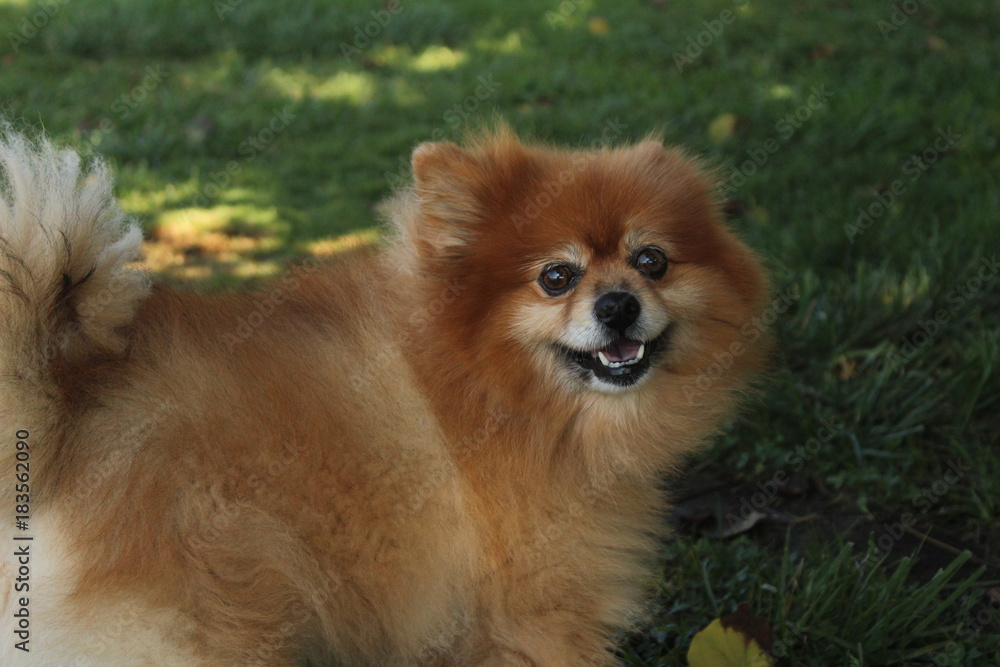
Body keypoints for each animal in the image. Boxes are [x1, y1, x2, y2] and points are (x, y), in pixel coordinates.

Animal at [0, 128, 764, 664]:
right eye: (555, 277)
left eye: (651, 261)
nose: (617, 305)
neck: (487, 383)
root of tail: (64, 405)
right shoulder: (539, 611)